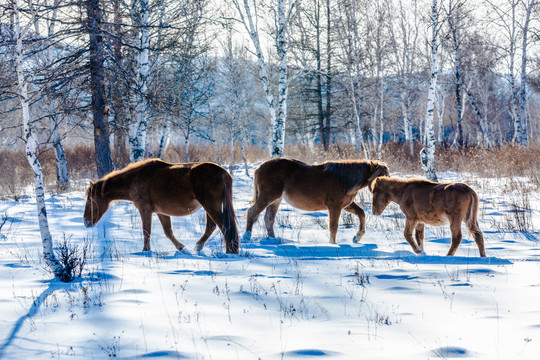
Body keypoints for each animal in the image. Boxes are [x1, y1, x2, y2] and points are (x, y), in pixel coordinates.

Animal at [83, 159, 239, 255]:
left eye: (90, 200)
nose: (86, 222)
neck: (134, 179)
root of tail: (223, 172)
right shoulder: (161, 212)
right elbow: (168, 232)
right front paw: (181, 248)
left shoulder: (145, 210)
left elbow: (146, 232)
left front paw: (145, 251)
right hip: (209, 207)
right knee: (212, 227)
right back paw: (199, 247)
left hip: (210, 205)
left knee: (223, 227)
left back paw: (229, 251)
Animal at [244, 159, 388, 243]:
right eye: (380, 175)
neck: (344, 179)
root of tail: (259, 168)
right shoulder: (335, 207)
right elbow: (333, 226)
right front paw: (332, 244)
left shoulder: (345, 205)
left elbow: (361, 213)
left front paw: (357, 237)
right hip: (268, 197)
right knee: (252, 212)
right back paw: (246, 237)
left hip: (275, 200)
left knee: (268, 218)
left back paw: (273, 240)